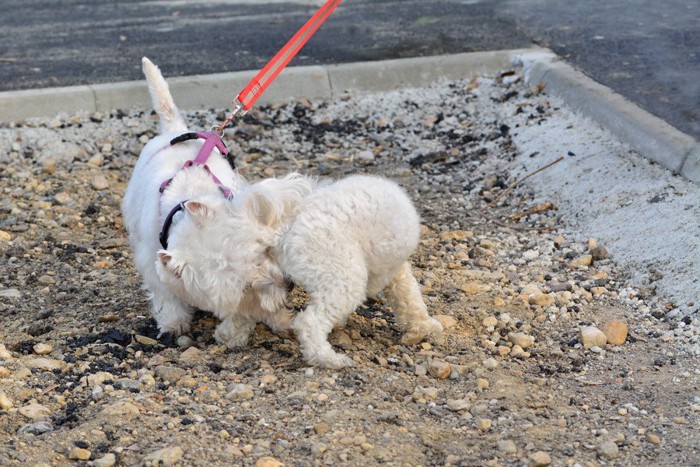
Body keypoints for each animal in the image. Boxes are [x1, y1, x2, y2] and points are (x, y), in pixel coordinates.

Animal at [158, 174, 442, 368]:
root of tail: (285, 230)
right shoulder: (394, 272)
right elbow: (410, 300)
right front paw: (424, 328)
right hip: (344, 280)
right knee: (308, 323)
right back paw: (329, 359)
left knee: (245, 309)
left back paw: (228, 335)